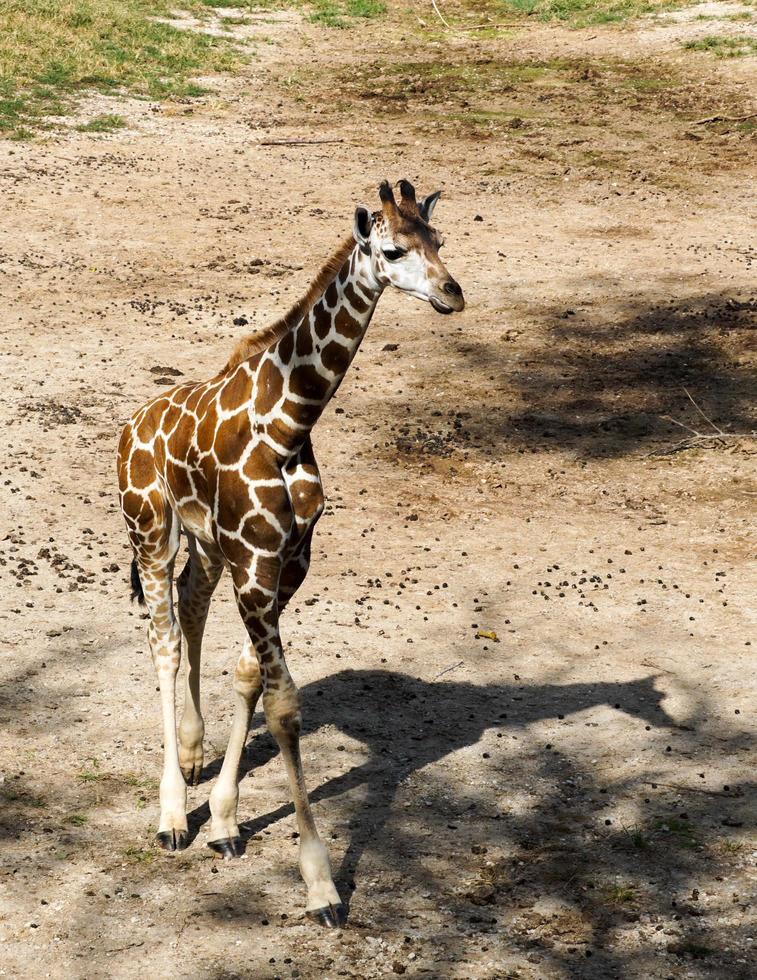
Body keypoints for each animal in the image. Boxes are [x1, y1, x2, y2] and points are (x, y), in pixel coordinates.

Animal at [116, 182, 464, 928]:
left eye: (440, 240)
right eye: (393, 249)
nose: (453, 294)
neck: (289, 422)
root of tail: (129, 426)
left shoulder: (285, 560)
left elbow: (250, 677)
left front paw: (225, 821)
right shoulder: (256, 563)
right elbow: (283, 707)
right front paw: (320, 885)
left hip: (205, 544)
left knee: (189, 606)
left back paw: (192, 756)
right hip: (149, 529)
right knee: (163, 641)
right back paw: (170, 814)